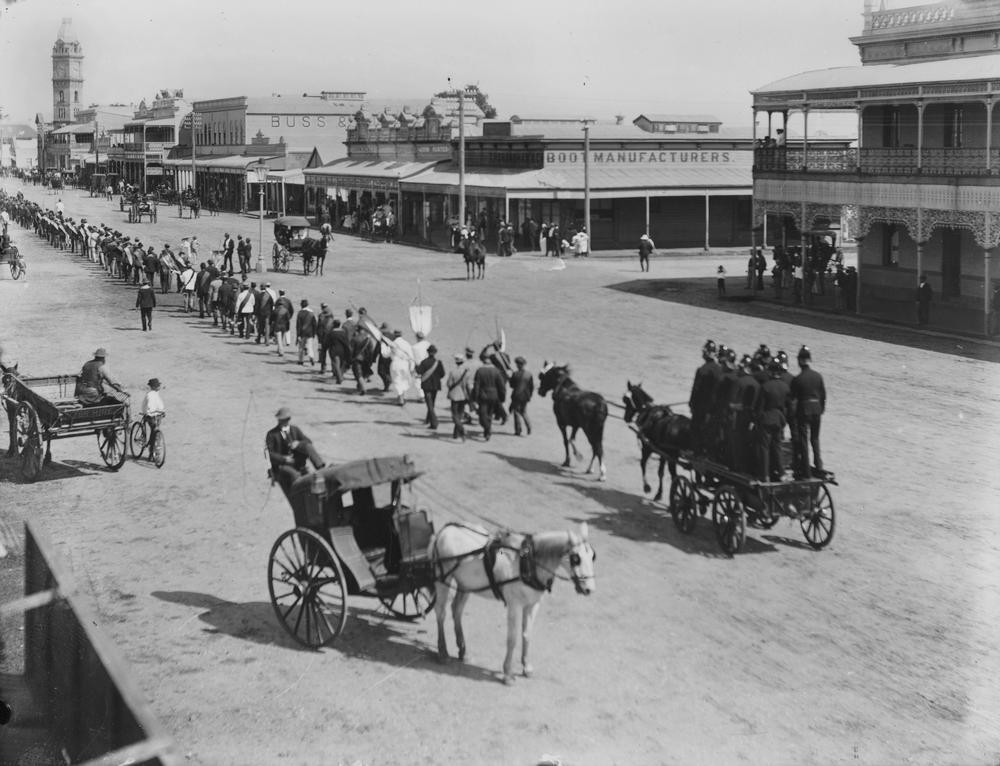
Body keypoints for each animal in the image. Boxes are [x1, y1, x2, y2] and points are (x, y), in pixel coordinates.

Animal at [428, 520, 592, 688]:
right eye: (576, 558)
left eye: (593, 556)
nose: (589, 589)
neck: (529, 562)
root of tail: (445, 530)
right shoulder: (515, 605)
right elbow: (512, 639)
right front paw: (508, 673)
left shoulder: (532, 605)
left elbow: (527, 635)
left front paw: (526, 666)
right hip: (443, 578)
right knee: (441, 612)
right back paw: (443, 653)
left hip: (466, 584)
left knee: (457, 610)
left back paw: (463, 651)